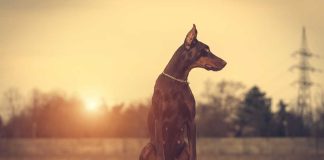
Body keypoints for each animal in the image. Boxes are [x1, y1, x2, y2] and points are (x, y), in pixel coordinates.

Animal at [139, 24, 225, 160]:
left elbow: (194, 152)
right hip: (148, 147)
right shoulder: (159, 120)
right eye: (206, 50)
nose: (225, 62)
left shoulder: (191, 121)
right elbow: (161, 153)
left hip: (184, 149)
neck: (177, 82)